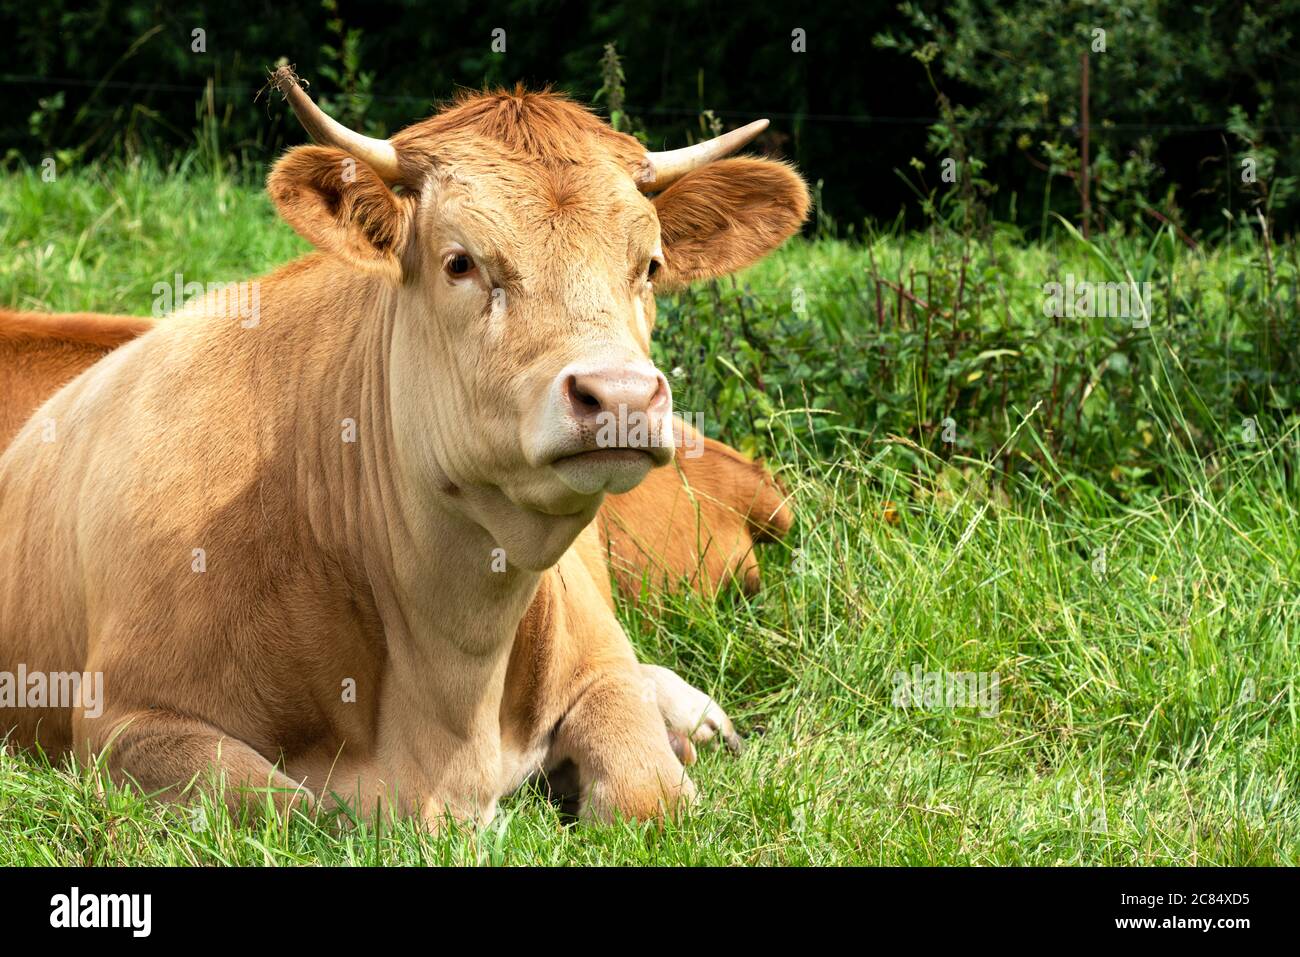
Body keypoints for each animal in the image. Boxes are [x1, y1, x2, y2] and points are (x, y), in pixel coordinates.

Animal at [0, 70, 806, 826]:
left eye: (651, 266)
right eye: (459, 262)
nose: (623, 397)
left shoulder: (595, 664)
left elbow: (648, 795)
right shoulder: (126, 721)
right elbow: (303, 811)